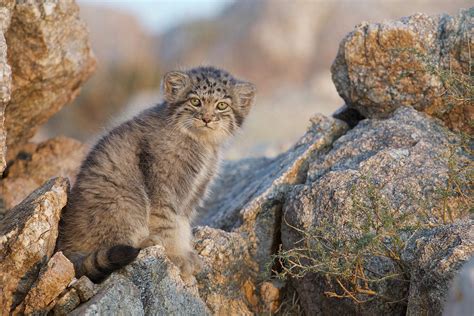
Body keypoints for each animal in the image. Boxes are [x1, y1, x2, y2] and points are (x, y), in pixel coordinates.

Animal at [57, 66, 258, 282]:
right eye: (195, 101)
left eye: (221, 105)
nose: (207, 118)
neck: (201, 143)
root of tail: (65, 249)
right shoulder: (163, 187)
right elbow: (168, 224)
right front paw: (176, 255)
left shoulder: (192, 193)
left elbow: (182, 224)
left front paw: (185, 252)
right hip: (126, 202)